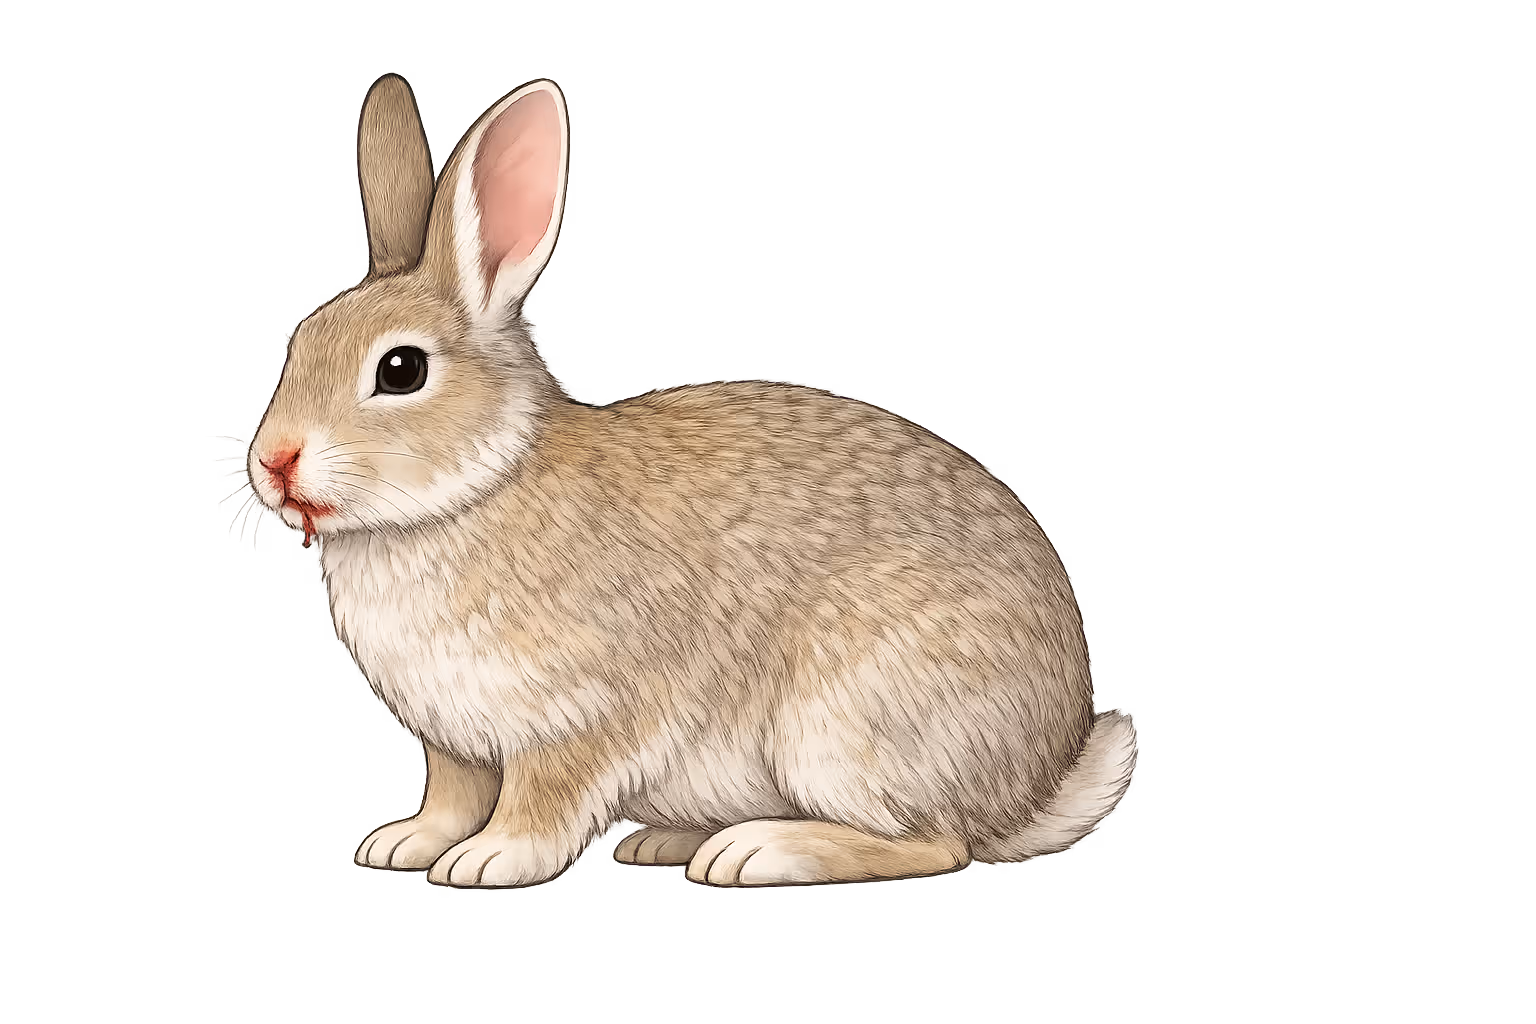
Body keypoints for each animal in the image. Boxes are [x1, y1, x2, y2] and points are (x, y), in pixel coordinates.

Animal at [246, 72, 1137, 889]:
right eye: (299, 339)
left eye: (400, 370)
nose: (272, 462)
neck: (478, 485)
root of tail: (1038, 785)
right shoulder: (451, 742)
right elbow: (450, 796)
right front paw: (403, 845)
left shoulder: (581, 715)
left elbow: (541, 799)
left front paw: (490, 861)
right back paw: (670, 842)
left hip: (847, 720)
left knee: (937, 845)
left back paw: (754, 852)